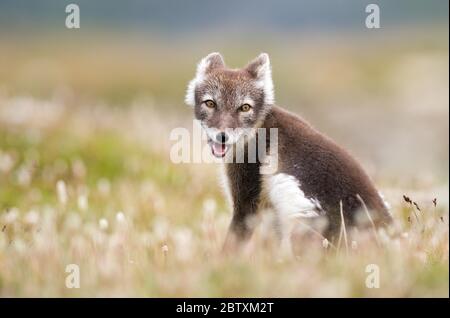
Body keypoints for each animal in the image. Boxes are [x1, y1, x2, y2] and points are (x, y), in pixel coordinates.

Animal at [185, 52, 392, 251]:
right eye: (210, 103)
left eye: (245, 107)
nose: (222, 136)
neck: (258, 128)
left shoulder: (247, 198)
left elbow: (233, 243)